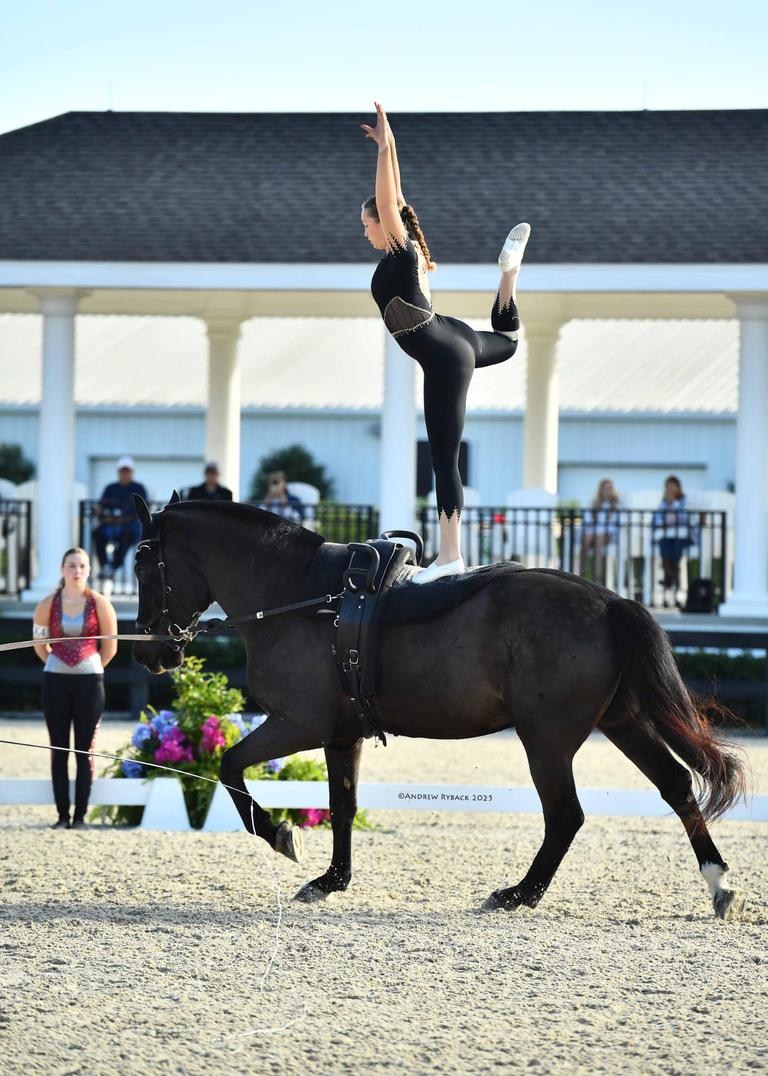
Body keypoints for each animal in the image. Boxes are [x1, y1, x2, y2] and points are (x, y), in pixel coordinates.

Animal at [131, 496, 747, 920]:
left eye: (142, 569)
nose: (155, 653)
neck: (300, 596)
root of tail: (610, 600)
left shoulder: (297, 724)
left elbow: (230, 765)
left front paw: (281, 835)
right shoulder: (340, 735)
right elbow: (342, 806)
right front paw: (331, 880)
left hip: (546, 740)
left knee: (566, 815)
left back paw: (519, 894)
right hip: (621, 722)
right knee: (675, 785)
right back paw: (718, 885)